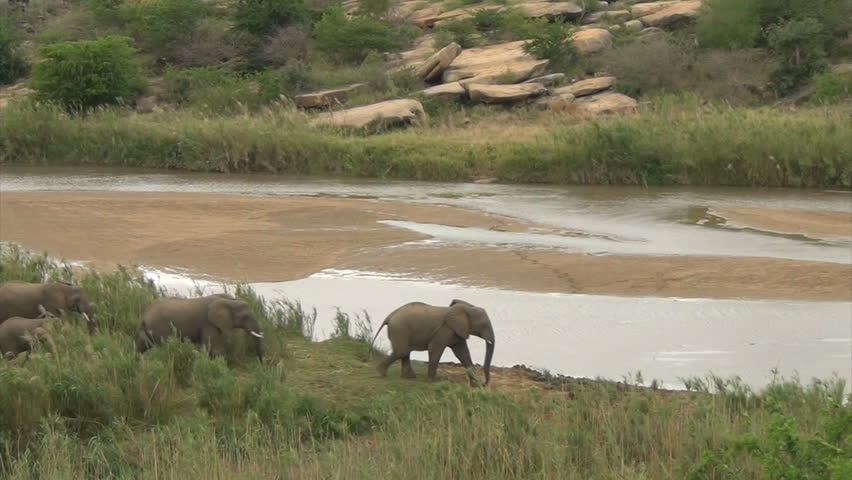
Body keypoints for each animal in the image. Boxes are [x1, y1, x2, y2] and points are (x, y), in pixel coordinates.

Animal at [135, 294, 264, 363]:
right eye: (245, 316)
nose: (261, 364)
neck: (229, 300)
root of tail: (144, 316)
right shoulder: (208, 323)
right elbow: (211, 347)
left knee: (141, 346)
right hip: (159, 327)